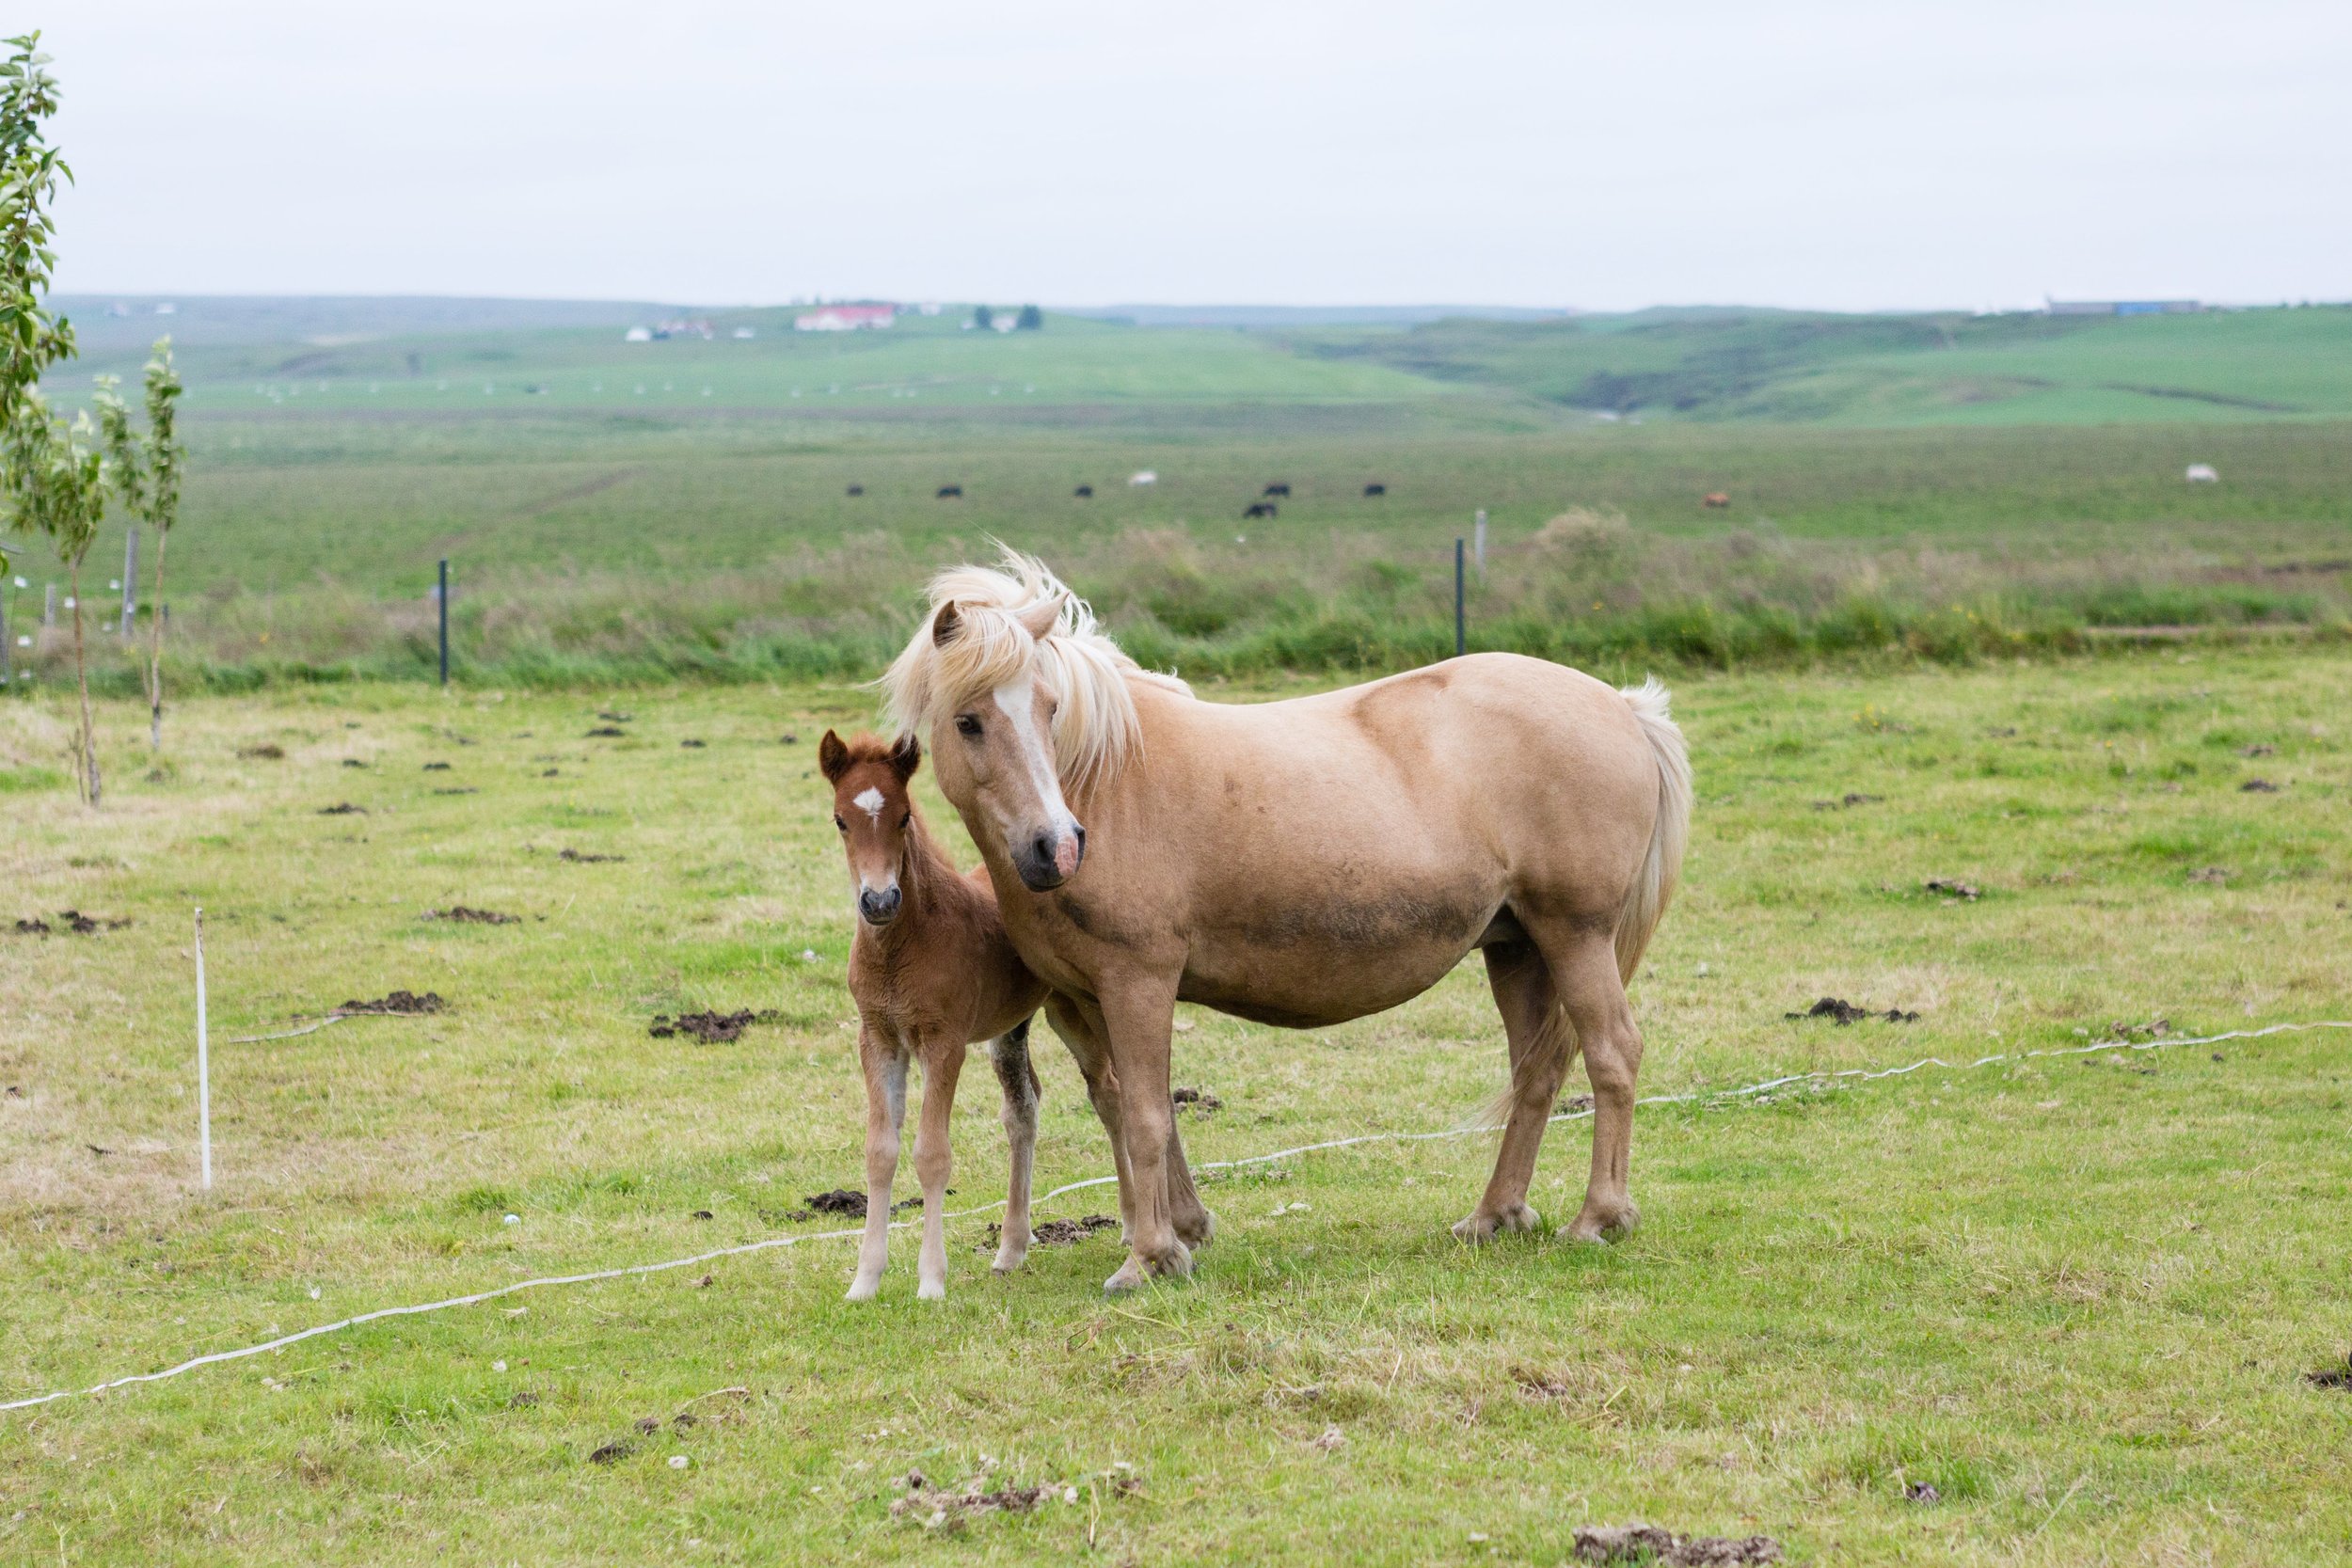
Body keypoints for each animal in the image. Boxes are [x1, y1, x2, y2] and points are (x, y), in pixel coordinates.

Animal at [823, 733, 1054, 1297]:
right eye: (840, 820)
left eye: (905, 815)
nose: (879, 900)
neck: (901, 947)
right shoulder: (878, 1040)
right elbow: (880, 1152)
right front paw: (865, 1280)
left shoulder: (943, 1043)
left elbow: (932, 1154)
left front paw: (931, 1281)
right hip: (1010, 1030)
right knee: (1024, 1109)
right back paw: (1012, 1248)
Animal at [884, 557, 1693, 1297]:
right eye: (969, 720)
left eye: (1050, 710)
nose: (1056, 847)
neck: (1107, 777)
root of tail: (1622, 706)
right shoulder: (1082, 999)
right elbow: (1128, 1107)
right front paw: (1181, 1230)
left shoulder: (1138, 981)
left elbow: (1145, 1115)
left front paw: (1148, 1257)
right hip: (1518, 948)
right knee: (1537, 1073)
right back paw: (1494, 1214)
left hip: (1575, 934)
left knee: (1612, 1053)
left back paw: (1599, 1216)